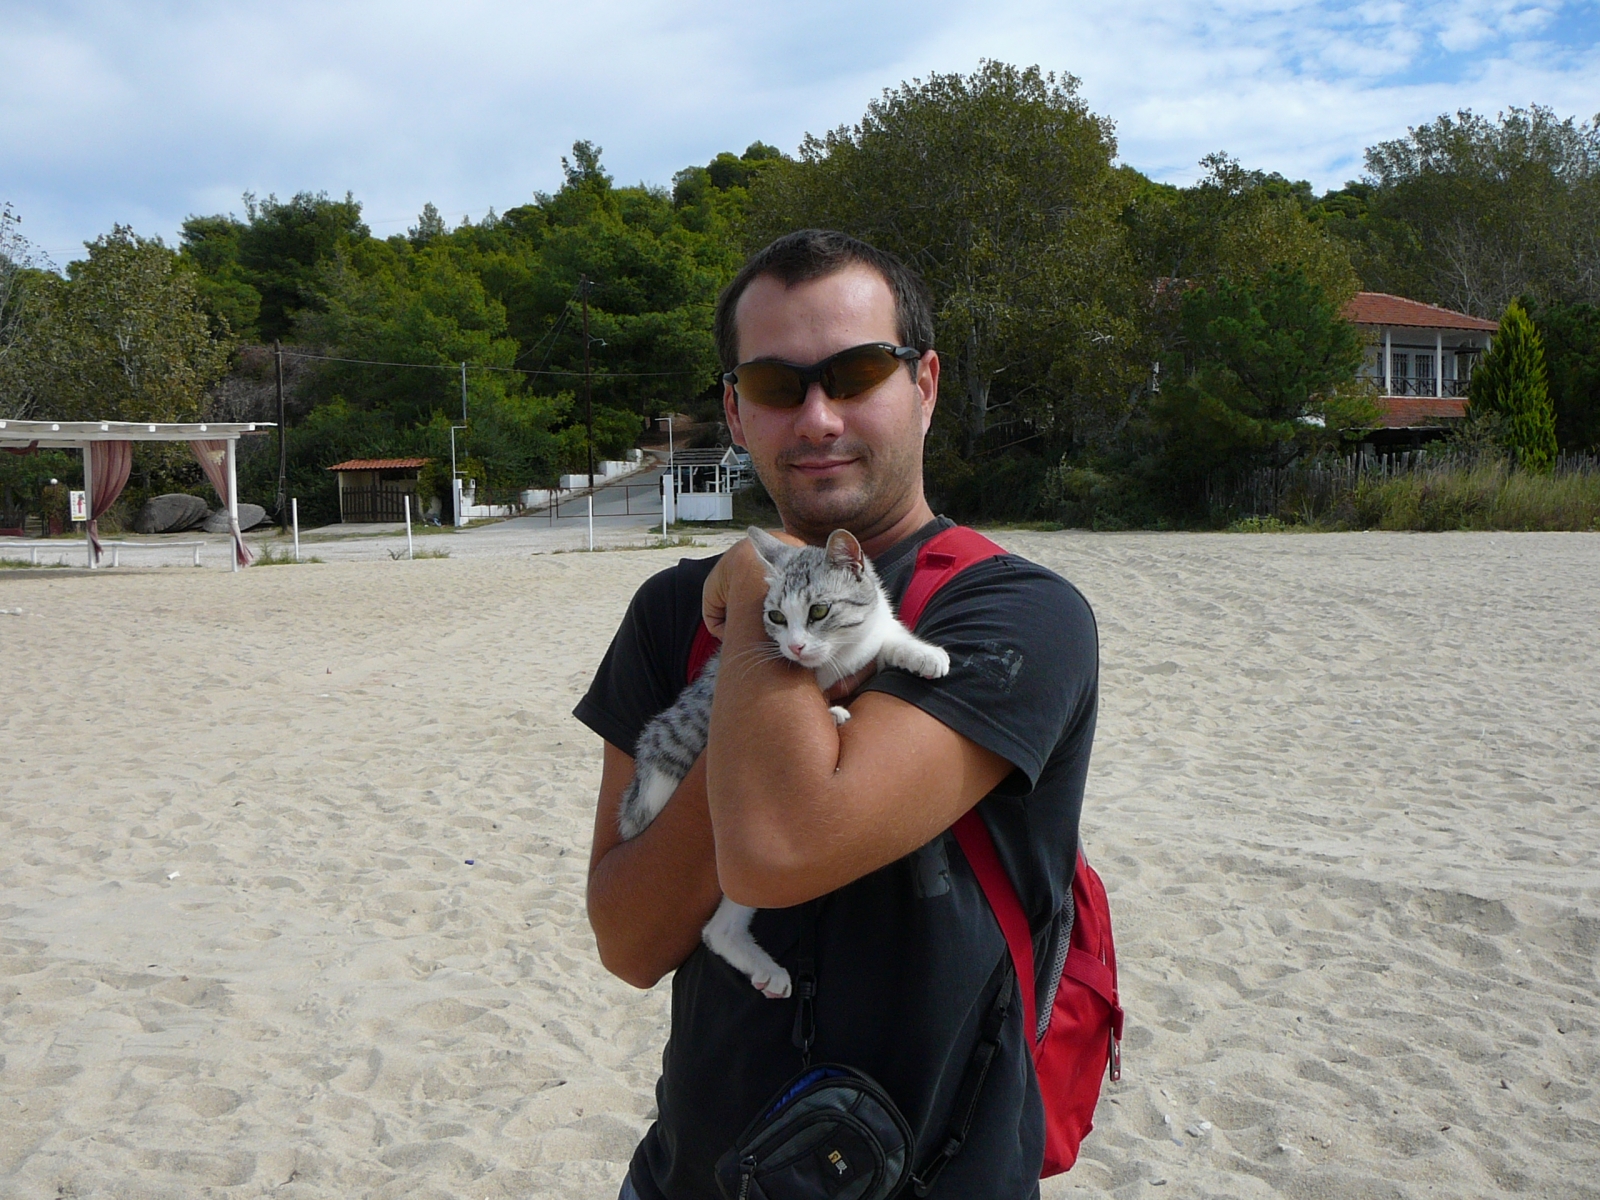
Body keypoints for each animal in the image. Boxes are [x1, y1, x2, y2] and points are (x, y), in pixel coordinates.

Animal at [616, 525, 952, 998]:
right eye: (776, 617)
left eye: (819, 610)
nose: (794, 645)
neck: (842, 652)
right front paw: (831, 708)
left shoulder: (869, 638)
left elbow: (888, 639)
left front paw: (922, 653)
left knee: (719, 925)